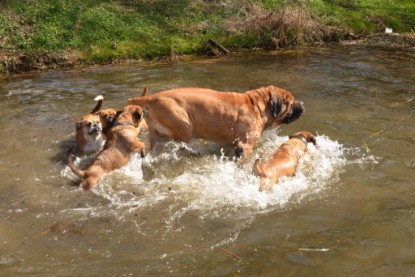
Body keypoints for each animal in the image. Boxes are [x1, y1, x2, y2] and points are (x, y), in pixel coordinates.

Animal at [128, 84, 304, 157]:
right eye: (291, 102)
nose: (302, 104)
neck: (258, 105)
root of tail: (153, 98)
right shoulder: (245, 144)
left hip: (156, 134)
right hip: (184, 126)